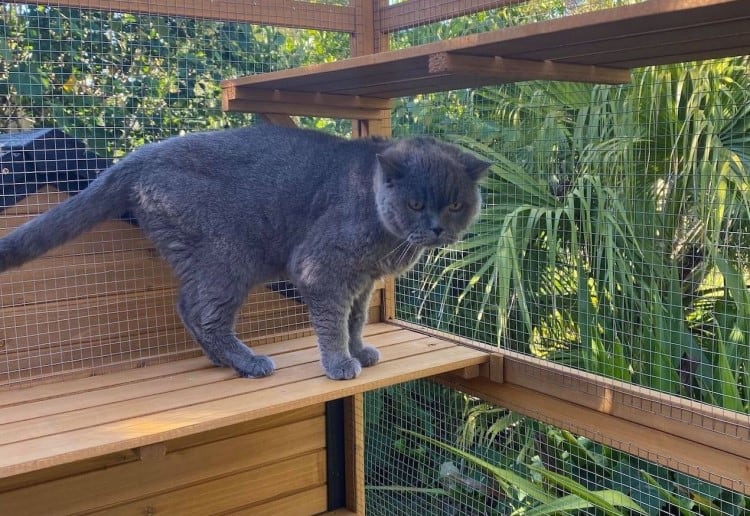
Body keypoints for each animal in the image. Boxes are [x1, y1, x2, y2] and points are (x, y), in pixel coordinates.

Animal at [0, 125, 490, 378]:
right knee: (202, 313)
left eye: (455, 204)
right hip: (229, 257)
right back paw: (249, 361)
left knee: (187, 306)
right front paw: (339, 363)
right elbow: (332, 323)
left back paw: (225, 361)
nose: (436, 227)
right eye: (415, 204)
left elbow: (354, 321)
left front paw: (359, 351)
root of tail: (137, 156)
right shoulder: (321, 268)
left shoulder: (361, 280)